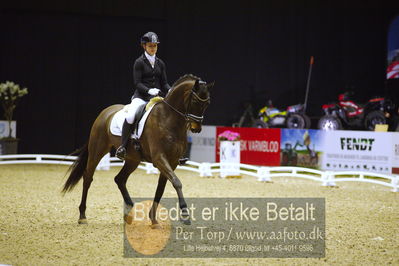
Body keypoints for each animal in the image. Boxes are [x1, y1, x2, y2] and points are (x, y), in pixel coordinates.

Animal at [61, 74, 214, 227]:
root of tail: (105, 112)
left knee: (120, 179)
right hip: (97, 150)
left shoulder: (173, 161)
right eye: (195, 100)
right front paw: (185, 214)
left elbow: (161, 188)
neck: (169, 119)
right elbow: (177, 182)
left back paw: (129, 211)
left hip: (132, 160)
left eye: (207, 103)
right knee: (88, 177)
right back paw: (82, 216)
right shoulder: (159, 158)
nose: (196, 128)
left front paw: (153, 219)